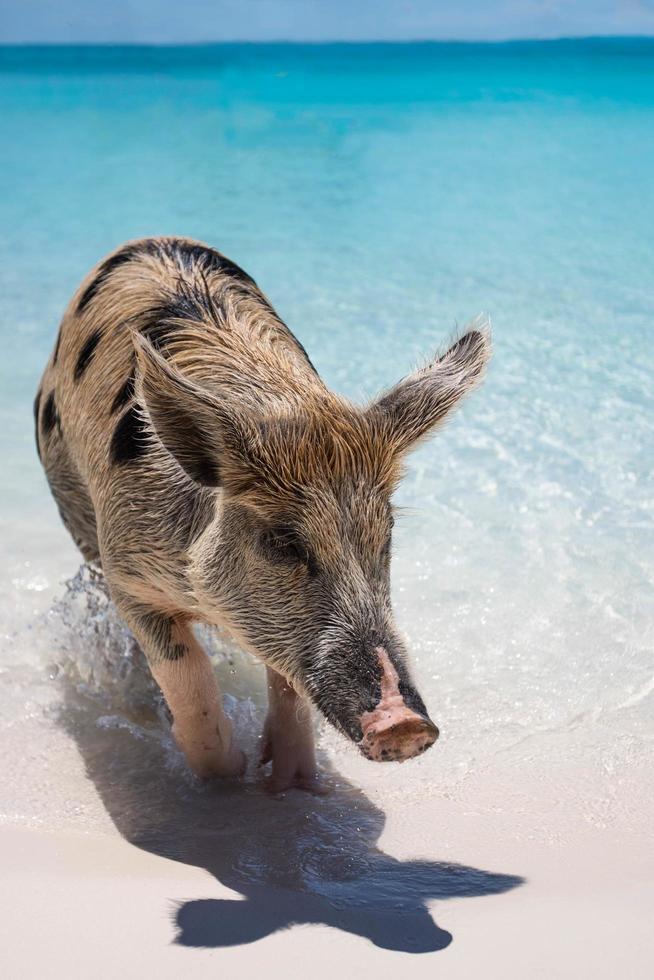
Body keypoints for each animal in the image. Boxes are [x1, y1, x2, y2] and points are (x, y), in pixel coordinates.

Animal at [33, 239, 490, 796]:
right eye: (283, 542)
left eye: (385, 537)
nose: (404, 724)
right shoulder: (127, 570)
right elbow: (185, 669)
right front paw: (229, 770)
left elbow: (286, 680)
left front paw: (290, 782)